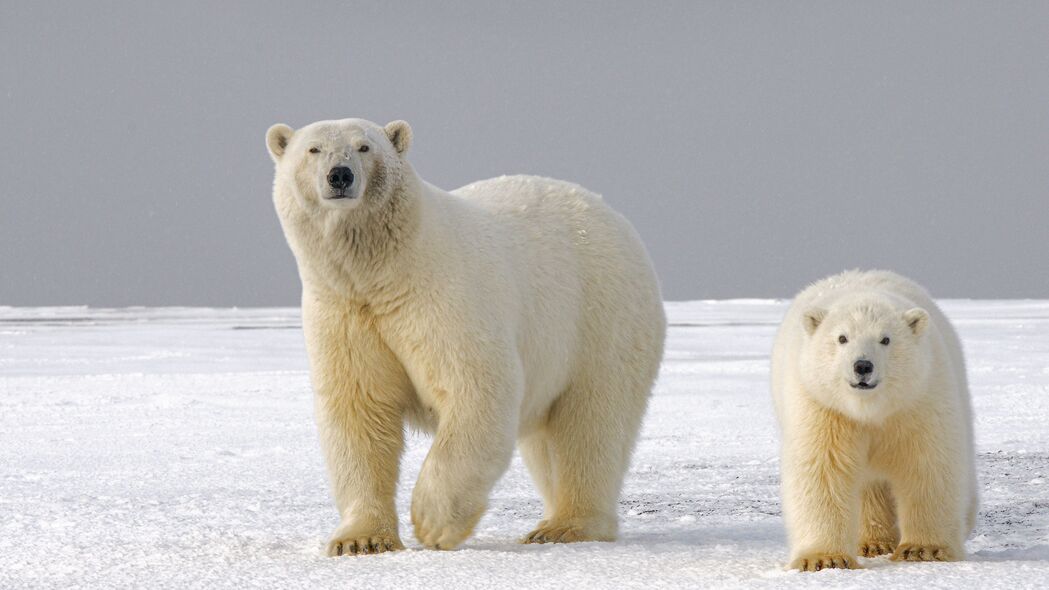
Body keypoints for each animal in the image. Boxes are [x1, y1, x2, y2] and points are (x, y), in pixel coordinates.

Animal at [266, 118, 667, 550]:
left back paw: (566, 526)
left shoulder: (442, 295)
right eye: (313, 149)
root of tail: (614, 216)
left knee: (590, 423)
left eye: (364, 147)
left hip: (600, 317)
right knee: (548, 441)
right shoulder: (343, 311)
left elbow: (476, 387)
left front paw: (432, 521)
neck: (384, 271)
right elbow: (359, 411)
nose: (340, 175)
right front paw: (360, 540)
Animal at [772, 268, 973, 566]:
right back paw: (873, 543)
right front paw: (824, 559)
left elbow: (927, 465)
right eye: (842, 338)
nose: (863, 366)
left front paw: (923, 549)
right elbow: (823, 470)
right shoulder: (823, 407)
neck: (870, 409)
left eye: (885, 339)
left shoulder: (918, 400)